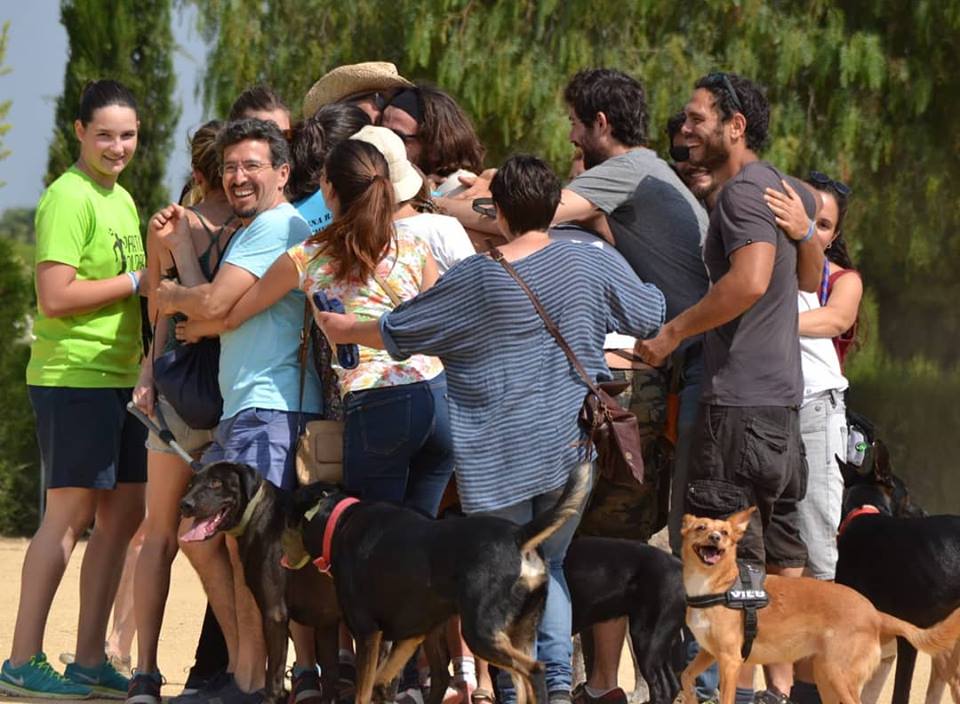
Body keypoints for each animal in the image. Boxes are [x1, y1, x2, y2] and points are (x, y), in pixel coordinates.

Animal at [179, 461, 343, 704]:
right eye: (191, 484)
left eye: (216, 482)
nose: (184, 504)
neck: (258, 514)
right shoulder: (326, 620)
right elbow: (330, 677)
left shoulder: (275, 615)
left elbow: (273, 679)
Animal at [297, 463, 592, 704]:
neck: (341, 521)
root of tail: (519, 535)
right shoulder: (413, 633)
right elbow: (384, 679)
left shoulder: (368, 632)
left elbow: (365, 690)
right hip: (519, 631)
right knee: (518, 682)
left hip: (480, 633)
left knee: (535, 670)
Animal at [679, 507, 960, 704]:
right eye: (701, 527)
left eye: (725, 533)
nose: (715, 537)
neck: (720, 586)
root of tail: (875, 613)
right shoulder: (709, 653)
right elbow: (685, 675)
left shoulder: (730, 660)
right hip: (826, 677)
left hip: (838, 675)